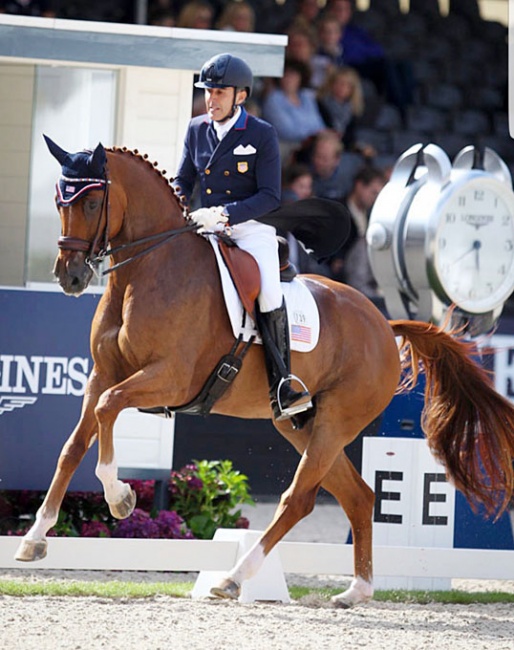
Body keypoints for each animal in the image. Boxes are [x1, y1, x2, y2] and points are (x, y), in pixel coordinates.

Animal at [16, 138, 512, 608]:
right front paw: (34, 540)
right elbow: (72, 447)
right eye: (59, 201)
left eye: (92, 204)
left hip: (336, 422)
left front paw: (120, 498)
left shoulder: (169, 378)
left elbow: (108, 408)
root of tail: (383, 323)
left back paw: (234, 579)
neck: (147, 270)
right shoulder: (102, 375)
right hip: (299, 423)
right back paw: (356, 590)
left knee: (300, 498)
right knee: (358, 496)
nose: (69, 277)